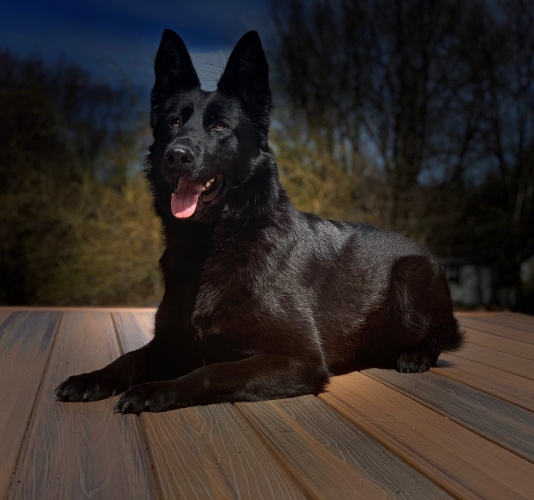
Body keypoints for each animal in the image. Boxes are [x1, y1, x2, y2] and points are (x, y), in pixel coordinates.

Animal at [55, 28, 464, 414]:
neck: (213, 241)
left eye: (220, 127)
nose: (177, 155)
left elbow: (209, 371)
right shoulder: (169, 342)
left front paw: (154, 390)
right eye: (173, 122)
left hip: (412, 276)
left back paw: (413, 357)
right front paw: (91, 378)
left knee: (435, 345)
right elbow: (128, 358)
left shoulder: (296, 358)